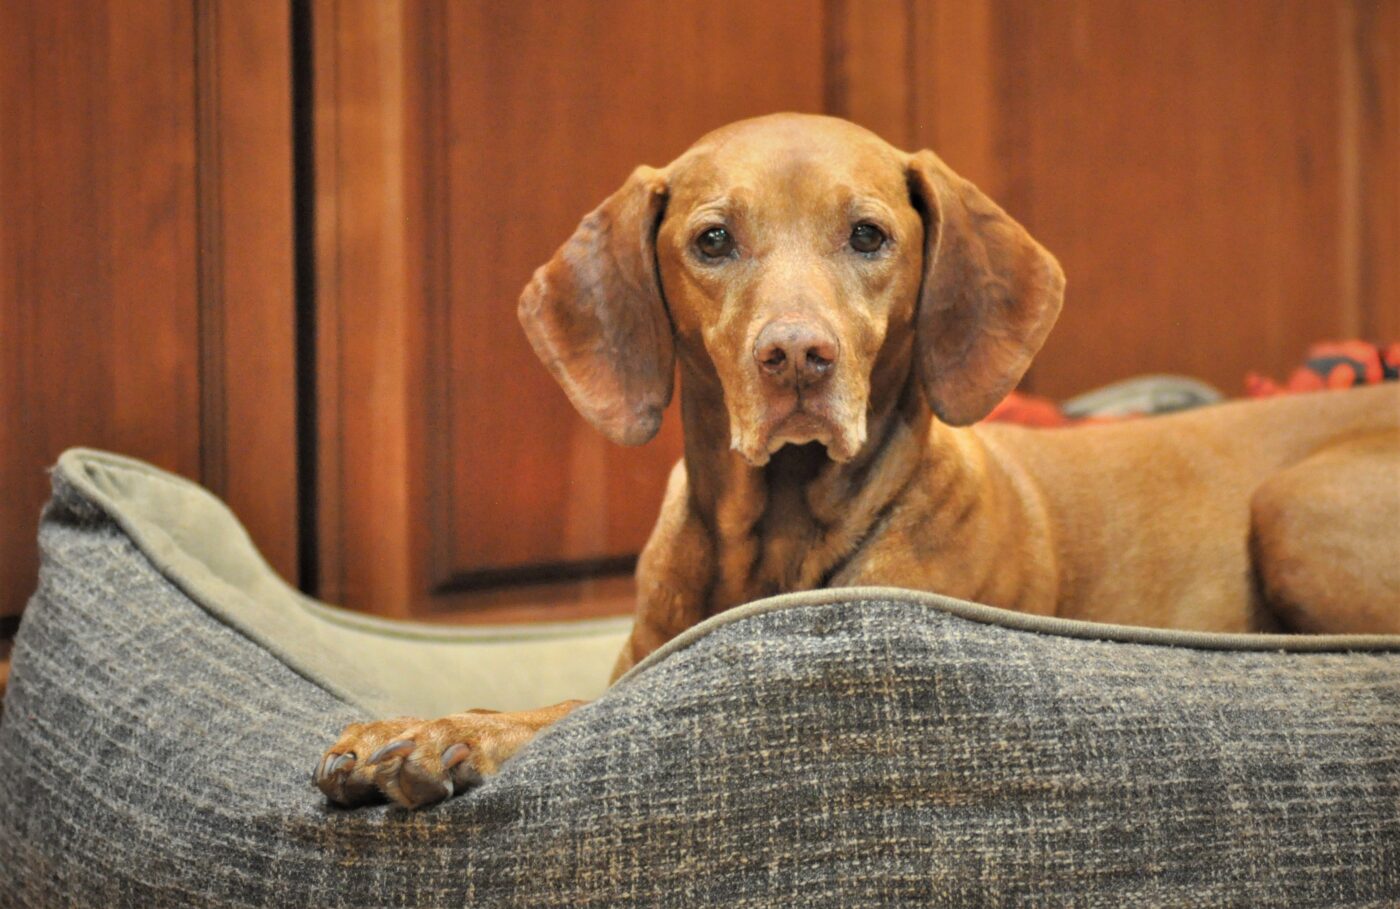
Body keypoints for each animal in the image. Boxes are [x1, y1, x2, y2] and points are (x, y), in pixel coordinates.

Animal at [315, 111, 1400, 806]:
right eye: (713, 239)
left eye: (868, 234)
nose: (798, 356)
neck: (773, 533)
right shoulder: (641, 667)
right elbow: (570, 700)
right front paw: (410, 729)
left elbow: (566, 717)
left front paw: (440, 736)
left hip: (1293, 507)